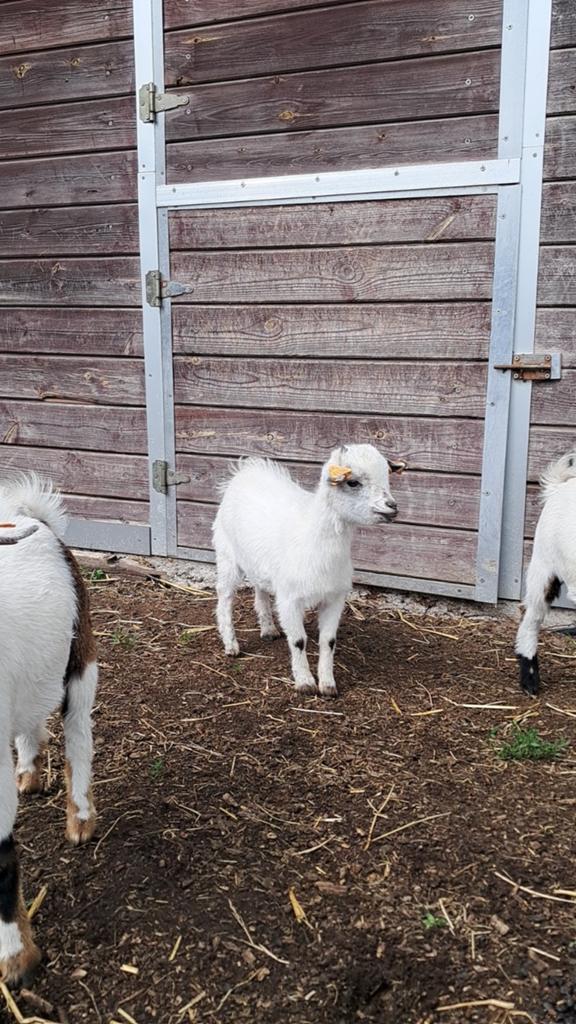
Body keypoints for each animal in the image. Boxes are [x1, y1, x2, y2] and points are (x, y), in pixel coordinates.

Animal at [213, 444, 405, 697]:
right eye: (353, 482)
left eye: (387, 476)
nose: (392, 507)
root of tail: (246, 470)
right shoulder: (289, 599)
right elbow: (298, 641)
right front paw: (304, 683)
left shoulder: (335, 598)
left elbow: (329, 641)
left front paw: (328, 685)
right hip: (226, 555)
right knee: (224, 598)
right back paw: (231, 645)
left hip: (257, 562)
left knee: (260, 590)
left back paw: (268, 629)